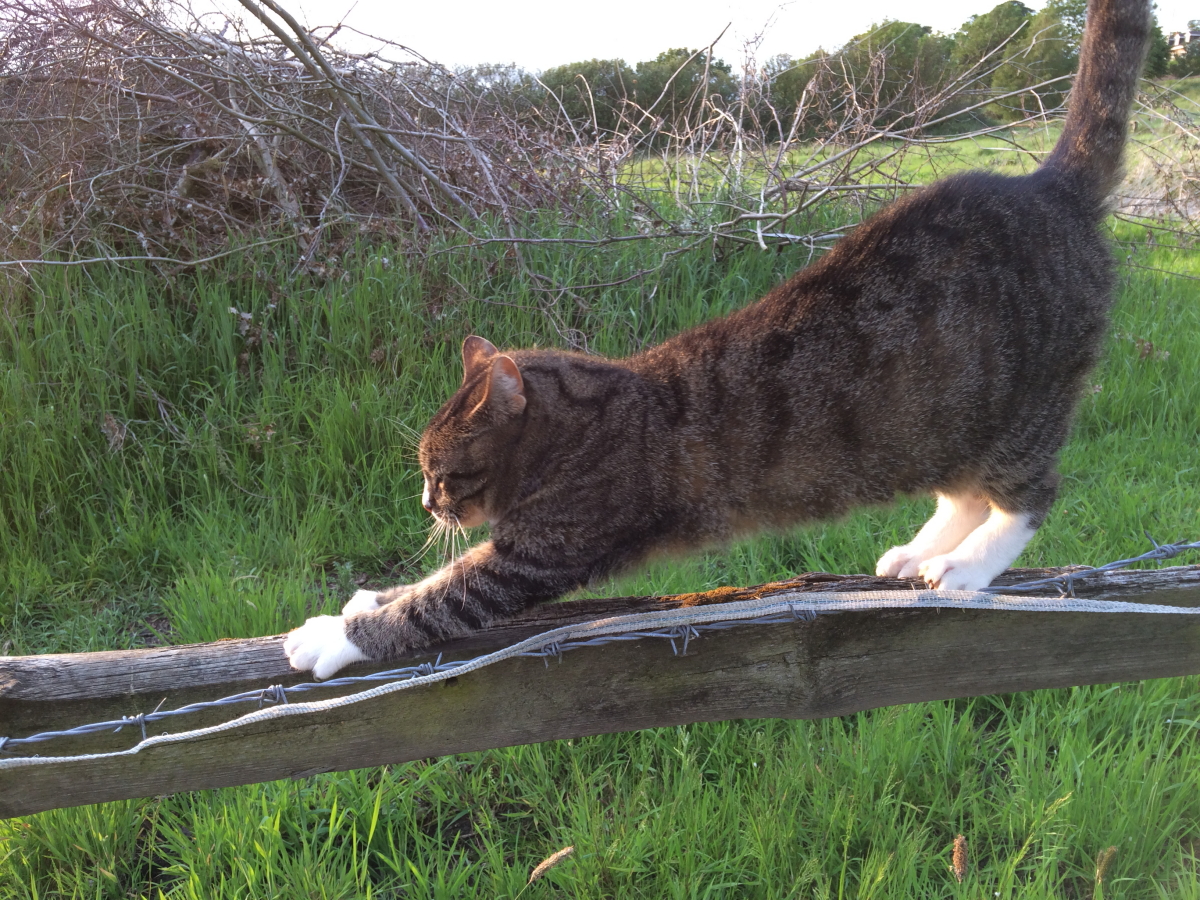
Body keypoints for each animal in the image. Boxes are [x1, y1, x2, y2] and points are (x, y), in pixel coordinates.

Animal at [283, 0, 1152, 676]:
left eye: (439, 472)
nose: (426, 502)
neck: (590, 413)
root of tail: (1051, 186)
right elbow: (434, 580)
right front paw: (360, 599)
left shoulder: (549, 543)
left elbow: (443, 597)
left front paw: (339, 635)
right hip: (937, 422)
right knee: (964, 488)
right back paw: (921, 551)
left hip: (1018, 405)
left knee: (1030, 493)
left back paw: (967, 566)